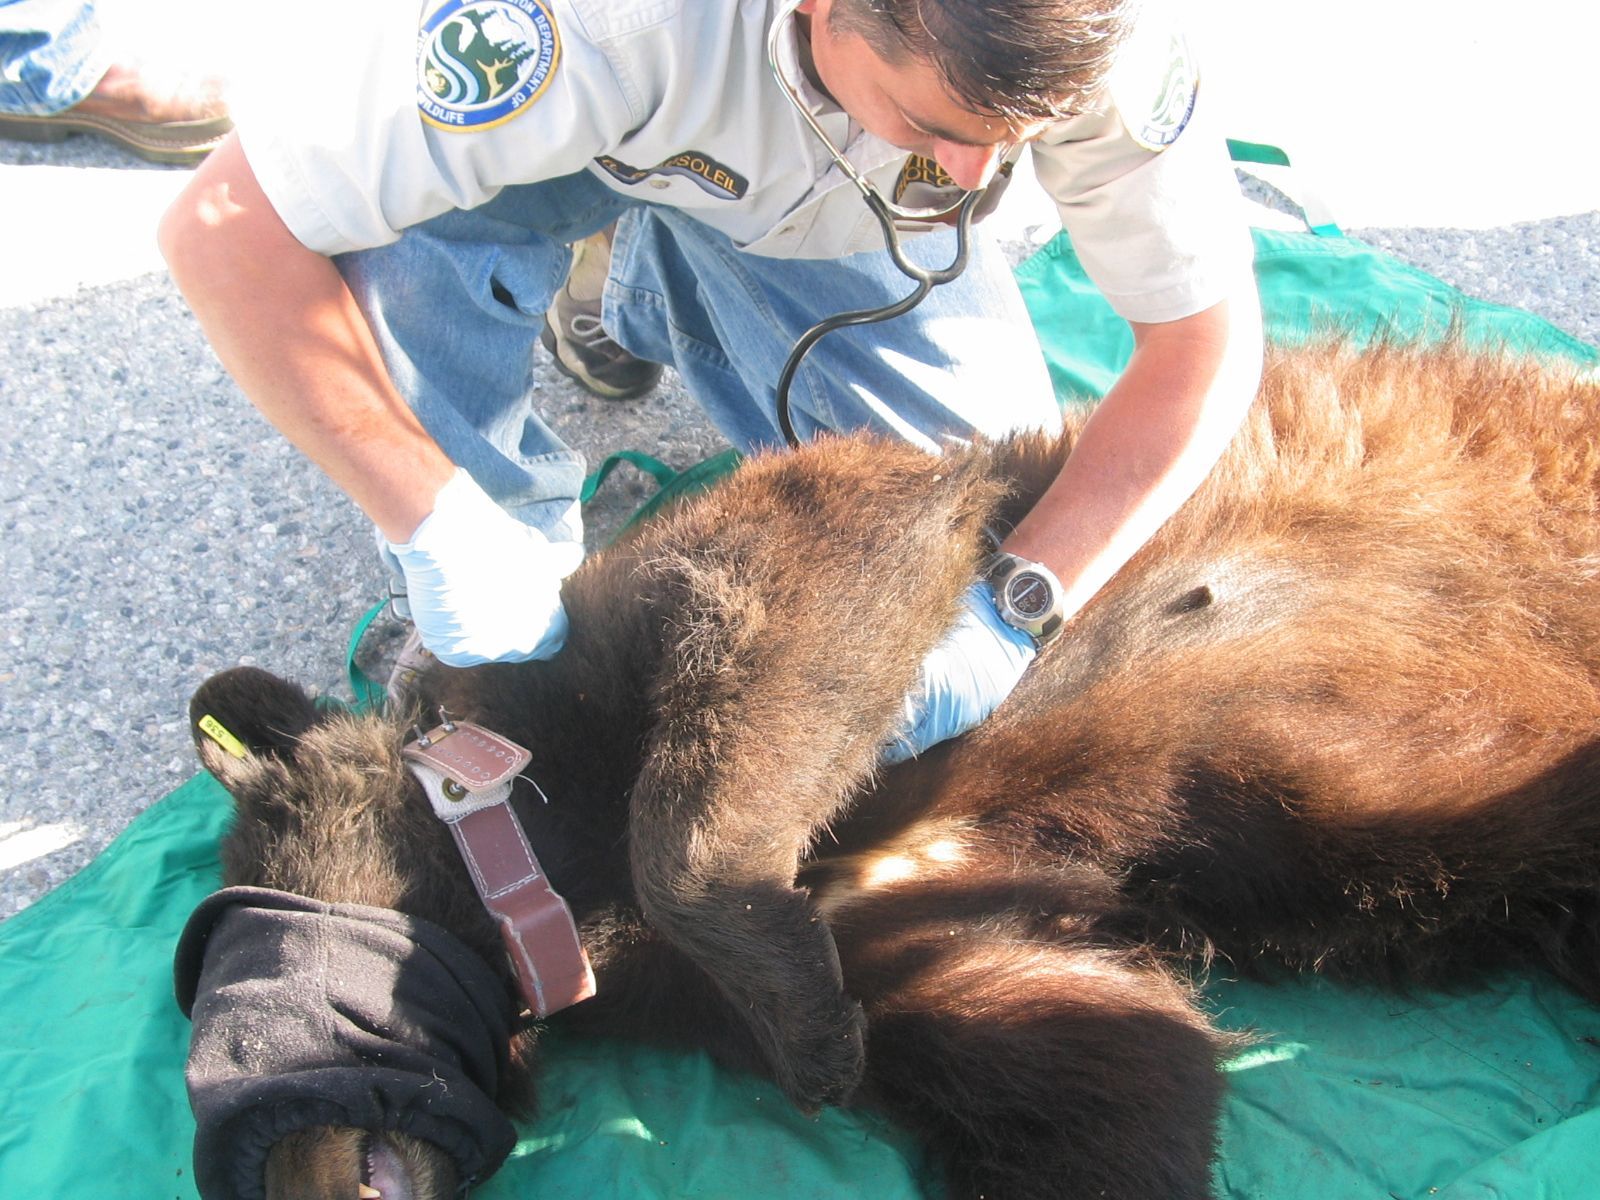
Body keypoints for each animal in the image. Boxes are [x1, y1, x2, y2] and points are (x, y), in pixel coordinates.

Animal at [179, 339, 1600, 1200]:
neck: (537, 857)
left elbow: (818, 571)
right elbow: (1081, 1050)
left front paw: (796, 1012)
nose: (259, 1167)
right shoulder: (919, 921)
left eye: (217, 979)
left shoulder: (647, 624)